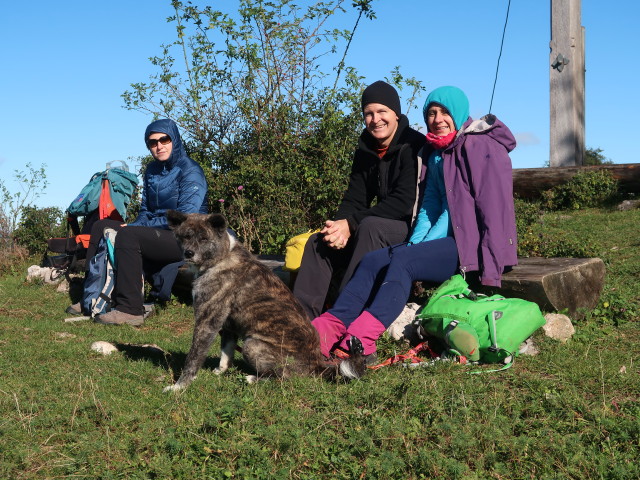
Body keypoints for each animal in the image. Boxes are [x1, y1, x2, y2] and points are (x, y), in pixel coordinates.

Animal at [165, 210, 364, 390]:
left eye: (204, 238)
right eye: (185, 236)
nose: (189, 253)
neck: (221, 258)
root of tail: (317, 365)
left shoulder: (206, 323)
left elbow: (193, 358)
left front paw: (179, 387)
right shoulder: (227, 326)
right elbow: (226, 353)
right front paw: (220, 372)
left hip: (252, 344)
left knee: (285, 378)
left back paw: (253, 379)